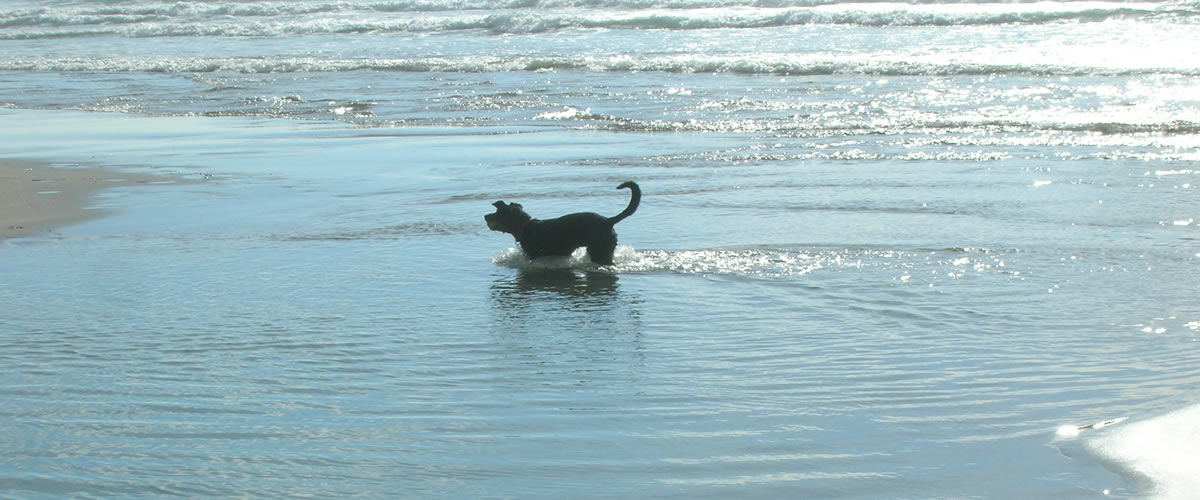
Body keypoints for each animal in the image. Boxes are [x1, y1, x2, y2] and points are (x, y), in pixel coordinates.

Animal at [484, 179, 643, 264]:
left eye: (497, 213)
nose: (485, 216)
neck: (525, 226)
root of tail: (609, 221)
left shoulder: (533, 256)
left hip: (600, 251)